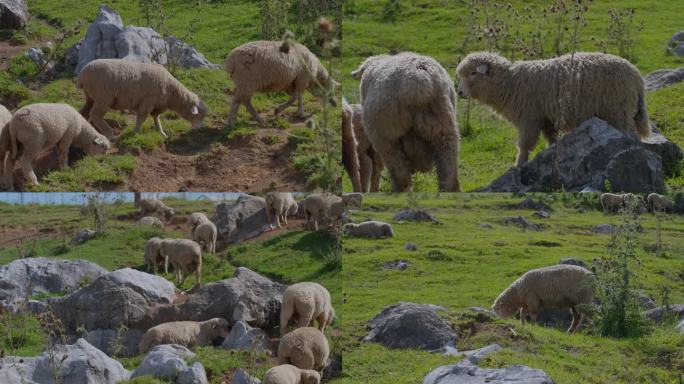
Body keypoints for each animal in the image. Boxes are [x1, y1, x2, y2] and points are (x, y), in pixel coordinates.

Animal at [76, 58, 207, 140]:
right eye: (198, 115)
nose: (200, 129)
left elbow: (156, 118)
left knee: (84, 111)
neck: (171, 91)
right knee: (96, 115)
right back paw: (111, 134)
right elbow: (142, 117)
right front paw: (136, 132)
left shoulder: (156, 104)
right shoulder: (148, 100)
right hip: (103, 97)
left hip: (91, 97)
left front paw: (161, 132)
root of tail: (82, 74)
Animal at [352, 52, 460, 192]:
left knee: (398, 169)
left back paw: (399, 189)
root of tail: (421, 78)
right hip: (442, 122)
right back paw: (449, 188)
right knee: (448, 159)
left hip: (386, 134)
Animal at [456, 51, 648, 166]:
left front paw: (519, 164)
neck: (510, 83)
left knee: (632, 136)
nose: (459, 92)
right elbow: (551, 140)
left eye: (473, 73)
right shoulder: (546, 120)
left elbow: (525, 145)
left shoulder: (529, 119)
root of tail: (637, 76)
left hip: (619, 110)